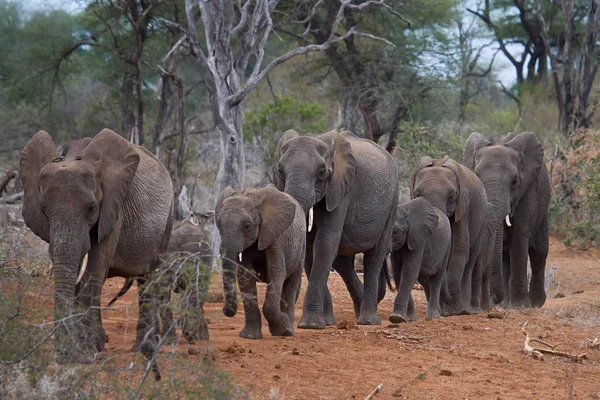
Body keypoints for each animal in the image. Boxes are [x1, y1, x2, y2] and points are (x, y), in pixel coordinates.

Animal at [19, 129, 173, 362]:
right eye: (44, 209)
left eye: (92, 207)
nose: (64, 355)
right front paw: (81, 349)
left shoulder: (113, 205)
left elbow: (94, 268)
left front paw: (89, 348)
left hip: (167, 223)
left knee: (149, 280)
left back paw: (143, 349)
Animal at [216, 184, 308, 338]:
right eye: (218, 224)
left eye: (247, 225)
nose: (224, 310)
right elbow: (245, 276)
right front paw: (250, 336)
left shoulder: (277, 236)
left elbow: (276, 272)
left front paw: (283, 326)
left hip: (301, 246)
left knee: (291, 284)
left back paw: (287, 331)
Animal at [274, 129, 398, 328]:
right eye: (280, 170)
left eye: (322, 172)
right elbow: (310, 251)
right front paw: (324, 322)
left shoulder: (341, 188)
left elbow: (324, 243)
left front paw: (310, 325)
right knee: (343, 263)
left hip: (392, 203)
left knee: (375, 256)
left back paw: (368, 321)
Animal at [410, 156, 490, 316]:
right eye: (418, 194)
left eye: (452, 195)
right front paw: (440, 310)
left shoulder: (463, 209)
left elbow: (458, 251)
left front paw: (453, 312)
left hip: (481, 222)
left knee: (470, 262)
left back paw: (467, 309)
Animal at [462, 133, 552, 308]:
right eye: (477, 176)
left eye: (515, 181)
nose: (492, 300)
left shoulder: (528, 192)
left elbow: (519, 238)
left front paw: (520, 307)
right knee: (505, 257)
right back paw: (505, 304)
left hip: (543, 211)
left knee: (539, 252)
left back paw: (536, 303)